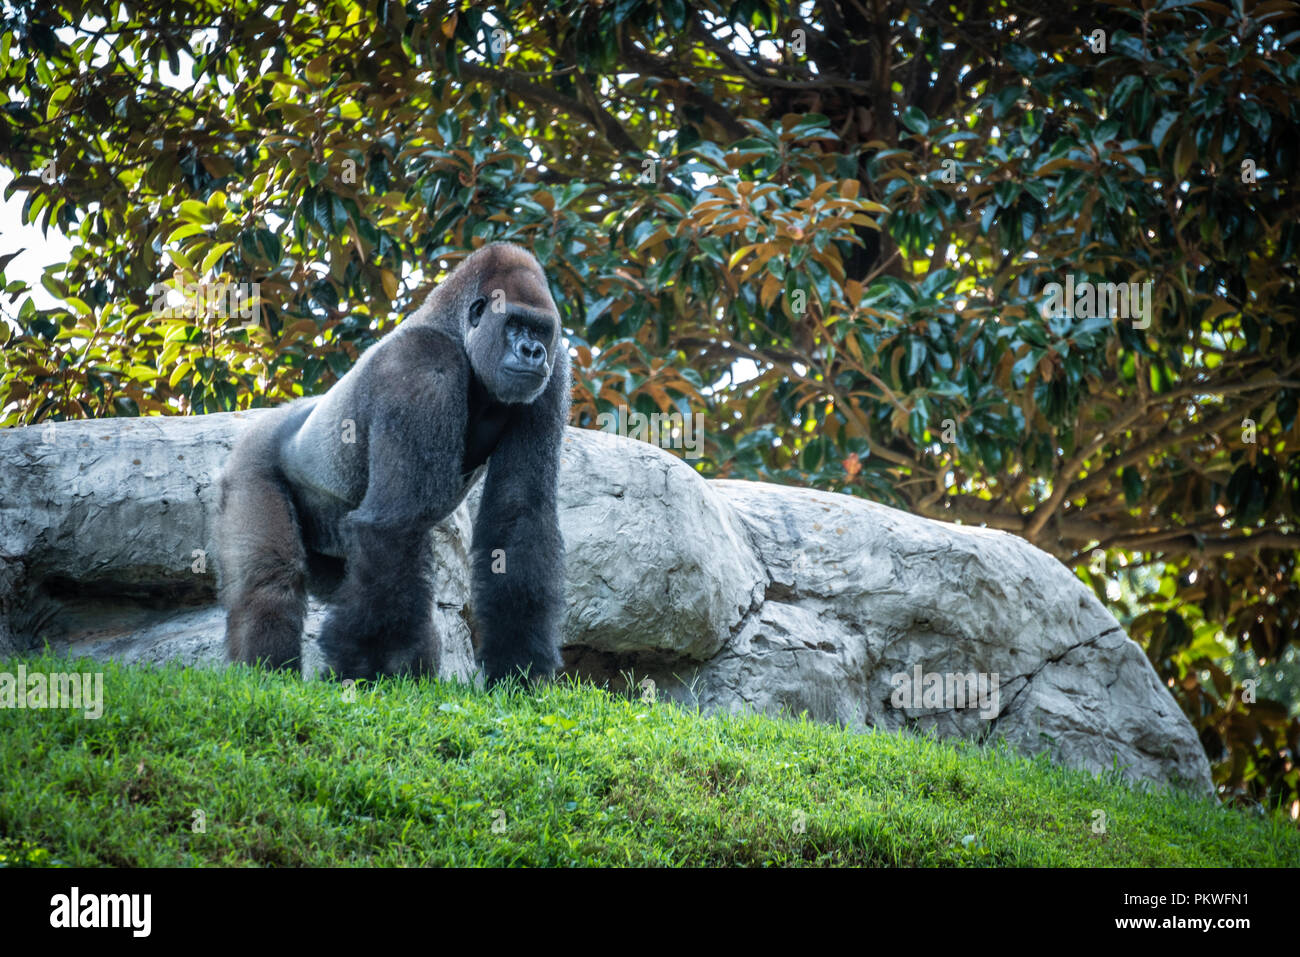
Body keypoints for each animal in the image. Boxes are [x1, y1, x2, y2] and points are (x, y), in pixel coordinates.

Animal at [215, 242, 569, 685]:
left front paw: (519, 667)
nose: (533, 352)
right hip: (250, 462)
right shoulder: (421, 363)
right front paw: (366, 668)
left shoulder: (553, 377)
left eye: (540, 331)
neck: (455, 330)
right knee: (269, 582)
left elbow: (519, 515)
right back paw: (266, 675)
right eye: (515, 325)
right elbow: (395, 522)